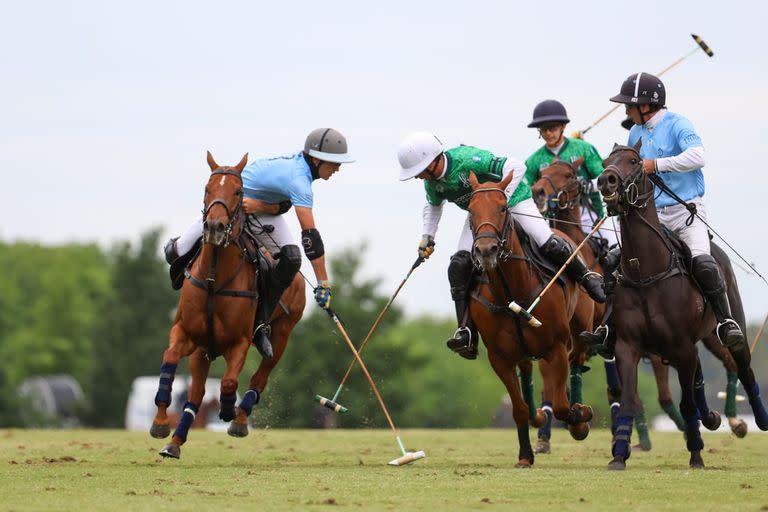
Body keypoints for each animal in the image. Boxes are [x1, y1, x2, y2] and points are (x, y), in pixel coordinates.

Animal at [150, 150, 306, 458]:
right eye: (206, 189)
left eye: (238, 191)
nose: (214, 227)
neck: (214, 279)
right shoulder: (186, 333)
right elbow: (169, 360)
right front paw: (161, 424)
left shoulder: (240, 342)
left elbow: (230, 381)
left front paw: (226, 409)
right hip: (202, 352)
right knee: (196, 394)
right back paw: (175, 441)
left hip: (283, 334)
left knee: (259, 378)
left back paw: (239, 420)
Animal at [462, 172, 592, 468]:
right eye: (470, 211)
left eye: (503, 208)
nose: (486, 250)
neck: (512, 292)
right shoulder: (499, 357)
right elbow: (520, 409)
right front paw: (525, 455)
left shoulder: (556, 346)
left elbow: (562, 406)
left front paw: (580, 418)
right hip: (523, 350)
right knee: (529, 374)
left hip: (580, 330)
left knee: (577, 362)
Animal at [600, 142, 768, 470]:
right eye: (605, 161)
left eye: (635, 161)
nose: (606, 181)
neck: (645, 271)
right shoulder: (628, 346)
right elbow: (628, 400)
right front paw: (619, 454)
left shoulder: (681, 346)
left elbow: (687, 402)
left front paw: (696, 455)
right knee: (704, 376)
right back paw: (712, 418)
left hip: (727, 330)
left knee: (742, 367)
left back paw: (757, 420)